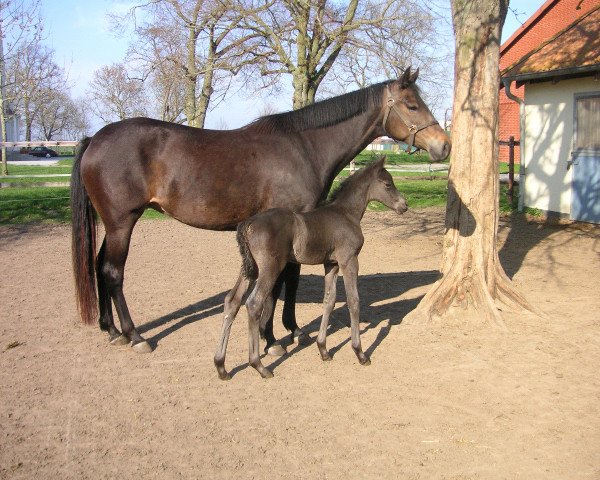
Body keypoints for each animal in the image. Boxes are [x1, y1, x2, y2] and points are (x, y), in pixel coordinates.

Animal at [214, 159, 408, 380]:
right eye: (388, 184)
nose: (404, 205)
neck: (346, 214)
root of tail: (248, 223)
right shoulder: (349, 260)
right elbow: (354, 301)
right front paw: (360, 353)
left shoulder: (331, 264)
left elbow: (329, 300)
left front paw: (323, 349)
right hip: (270, 268)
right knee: (254, 303)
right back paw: (259, 366)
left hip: (249, 269)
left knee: (232, 301)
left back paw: (221, 366)